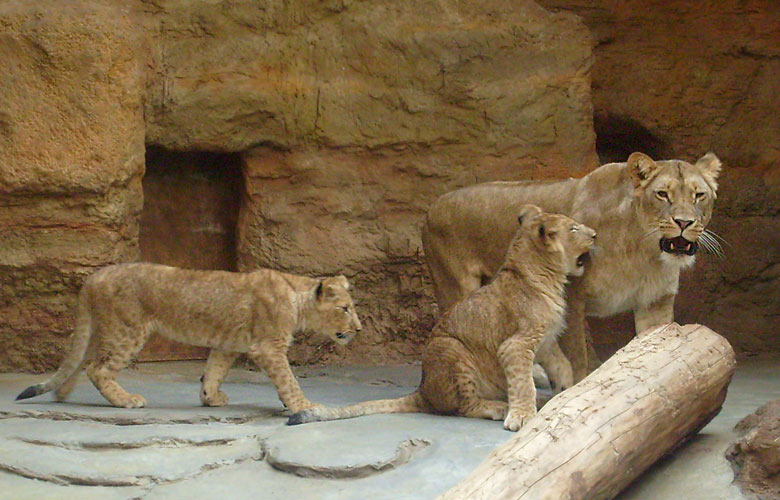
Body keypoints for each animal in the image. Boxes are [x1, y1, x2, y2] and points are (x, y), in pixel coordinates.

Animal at [424, 150, 724, 380]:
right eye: (662, 194)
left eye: (699, 195)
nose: (684, 222)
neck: (644, 251)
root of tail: (431, 207)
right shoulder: (572, 299)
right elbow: (578, 357)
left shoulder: (656, 303)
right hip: (456, 286)